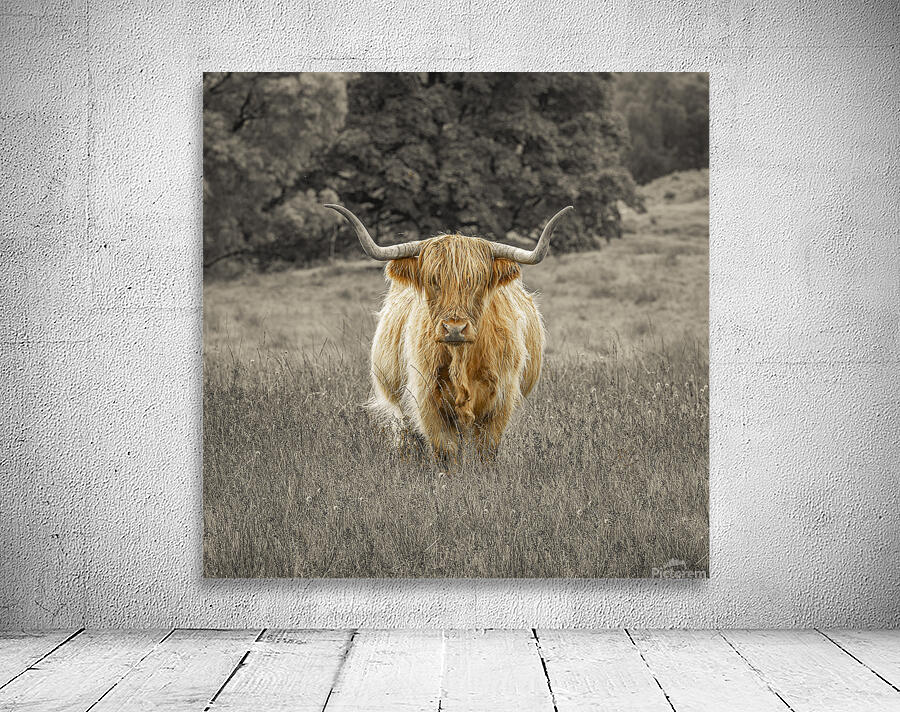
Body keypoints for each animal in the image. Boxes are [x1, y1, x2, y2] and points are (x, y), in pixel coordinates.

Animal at [324, 203, 573, 461]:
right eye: (433, 281)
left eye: (477, 282)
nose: (455, 328)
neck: (462, 360)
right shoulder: (427, 401)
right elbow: (446, 451)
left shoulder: (500, 401)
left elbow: (486, 450)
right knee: (409, 441)